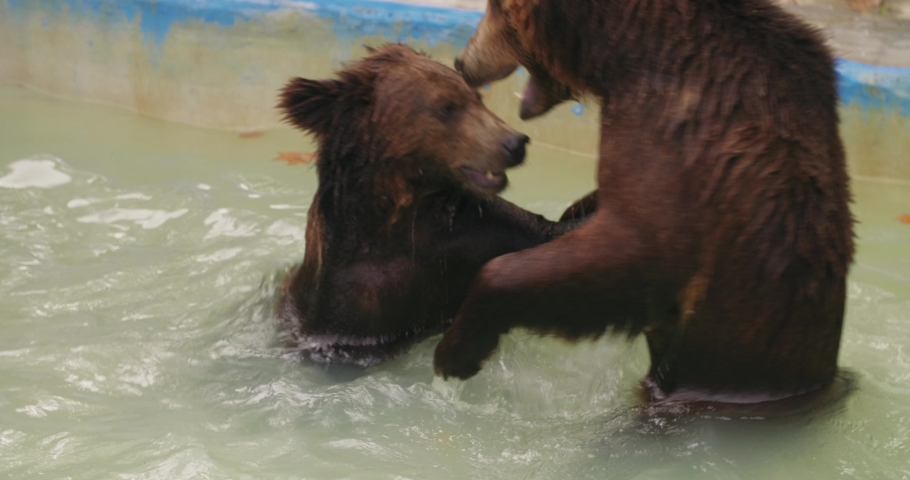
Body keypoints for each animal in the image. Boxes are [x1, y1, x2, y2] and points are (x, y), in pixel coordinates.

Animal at [276, 44, 588, 367]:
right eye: (447, 107)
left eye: (476, 98)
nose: (515, 143)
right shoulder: (367, 298)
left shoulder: (470, 229)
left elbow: (539, 231)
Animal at [434, 0, 855, 405]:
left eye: (495, 6)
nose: (463, 61)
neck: (623, 56)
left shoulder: (672, 133)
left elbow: (638, 249)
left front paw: (457, 350)